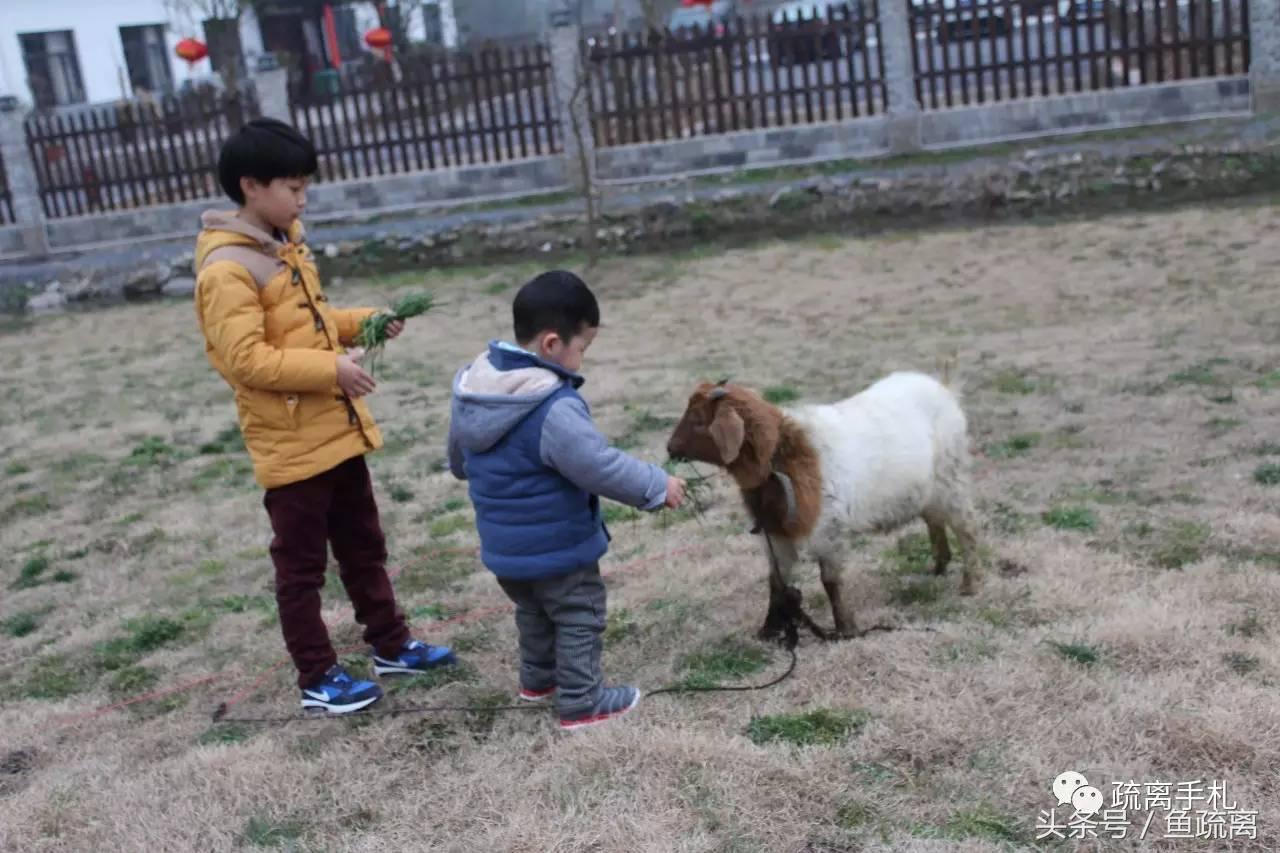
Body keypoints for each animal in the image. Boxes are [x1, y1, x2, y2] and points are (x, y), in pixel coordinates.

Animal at [665, 371, 983, 637]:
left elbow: (830, 581)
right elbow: (776, 582)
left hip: (950, 478)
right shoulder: (775, 537)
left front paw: (846, 629)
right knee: (935, 520)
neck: (781, 459)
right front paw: (768, 631)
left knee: (966, 526)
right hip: (926, 490)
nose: (670, 448)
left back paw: (969, 584)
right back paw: (939, 566)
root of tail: (942, 387)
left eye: (698, 421)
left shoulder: (827, 530)